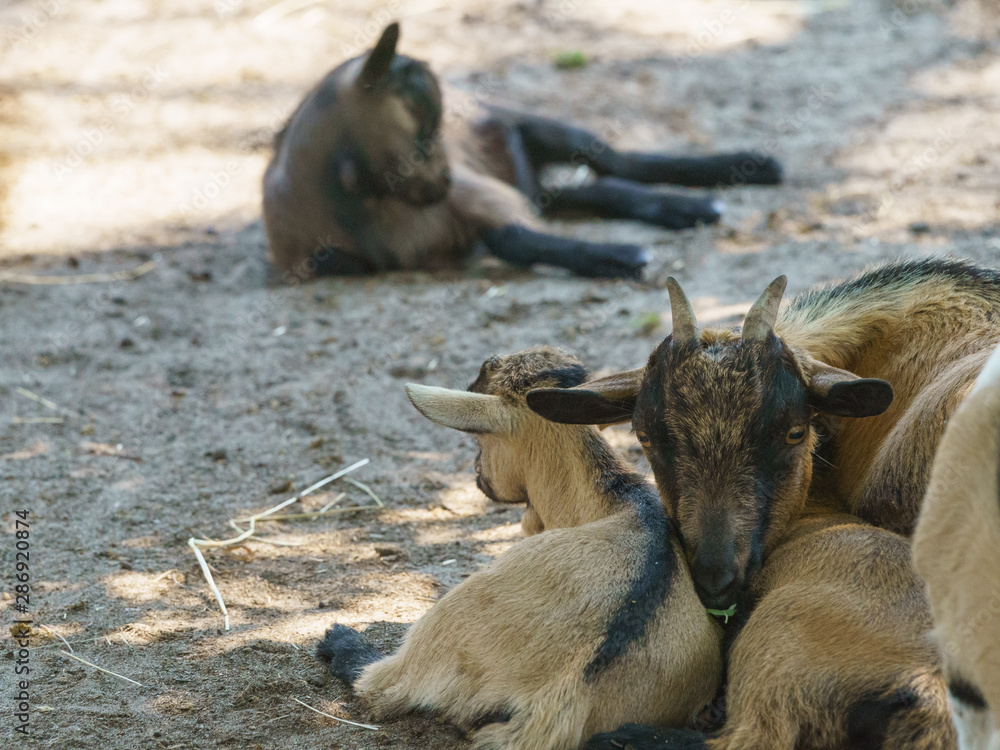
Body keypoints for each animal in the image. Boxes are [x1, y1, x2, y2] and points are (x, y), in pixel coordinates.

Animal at [263, 22, 783, 281]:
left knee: (611, 160)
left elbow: (517, 239)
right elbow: (514, 240)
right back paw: (690, 209)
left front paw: (623, 255)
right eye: (421, 125)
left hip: (516, 129)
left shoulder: (476, 200)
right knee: (594, 190)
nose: (446, 179)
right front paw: (617, 258)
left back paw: (744, 170)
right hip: (516, 177)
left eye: (436, 125)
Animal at [316, 347, 722, 750]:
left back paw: (340, 640)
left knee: (380, 685)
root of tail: (564, 702)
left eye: (480, 440)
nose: (478, 473)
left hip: (447, 621)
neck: (623, 503)